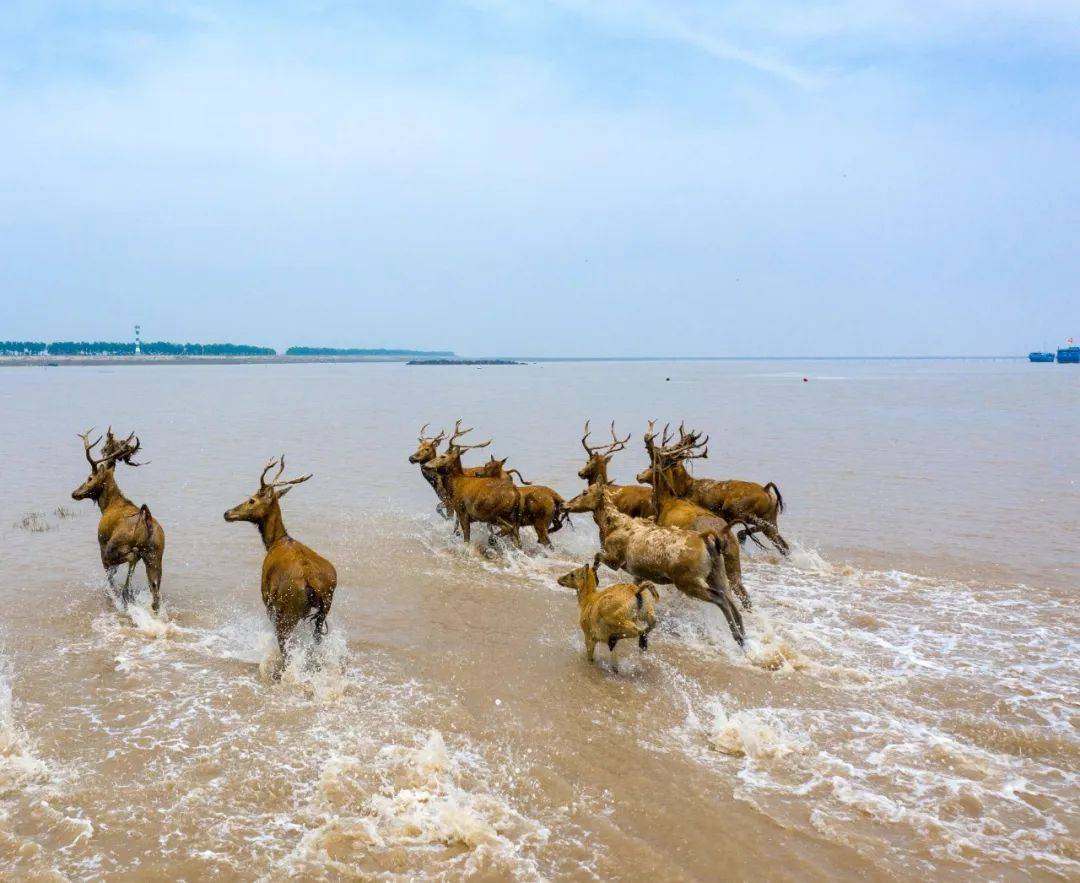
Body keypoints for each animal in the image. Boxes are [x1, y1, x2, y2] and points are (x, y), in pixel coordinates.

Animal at [71, 429, 165, 612]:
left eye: (90, 477)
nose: (75, 493)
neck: (107, 505)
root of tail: (146, 519)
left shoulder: (102, 544)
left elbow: (110, 578)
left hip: (116, 547)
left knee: (132, 558)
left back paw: (126, 594)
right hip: (155, 555)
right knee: (156, 594)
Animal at [223, 457, 336, 673]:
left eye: (252, 499)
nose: (227, 513)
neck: (275, 542)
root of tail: (312, 583)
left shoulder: (267, 598)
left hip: (287, 611)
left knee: (287, 649)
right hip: (324, 609)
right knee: (314, 642)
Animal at [563, 481, 746, 647]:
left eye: (585, 492)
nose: (565, 504)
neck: (612, 525)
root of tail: (705, 539)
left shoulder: (616, 560)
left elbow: (597, 555)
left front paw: (594, 575)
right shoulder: (637, 574)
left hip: (688, 582)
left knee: (720, 598)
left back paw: (737, 636)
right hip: (717, 574)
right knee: (731, 599)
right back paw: (743, 635)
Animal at [636, 425, 788, 555]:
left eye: (653, 464)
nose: (639, 476)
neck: (684, 489)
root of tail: (766, 489)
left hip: (741, 511)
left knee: (763, 529)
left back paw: (743, 537)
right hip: (770, 515)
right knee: (782, 544)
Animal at [642, 424, 752, 609]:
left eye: (652, 463)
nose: (639, 475)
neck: (666, 502)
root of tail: (724, 532)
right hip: (733, 562)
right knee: (743, 594)